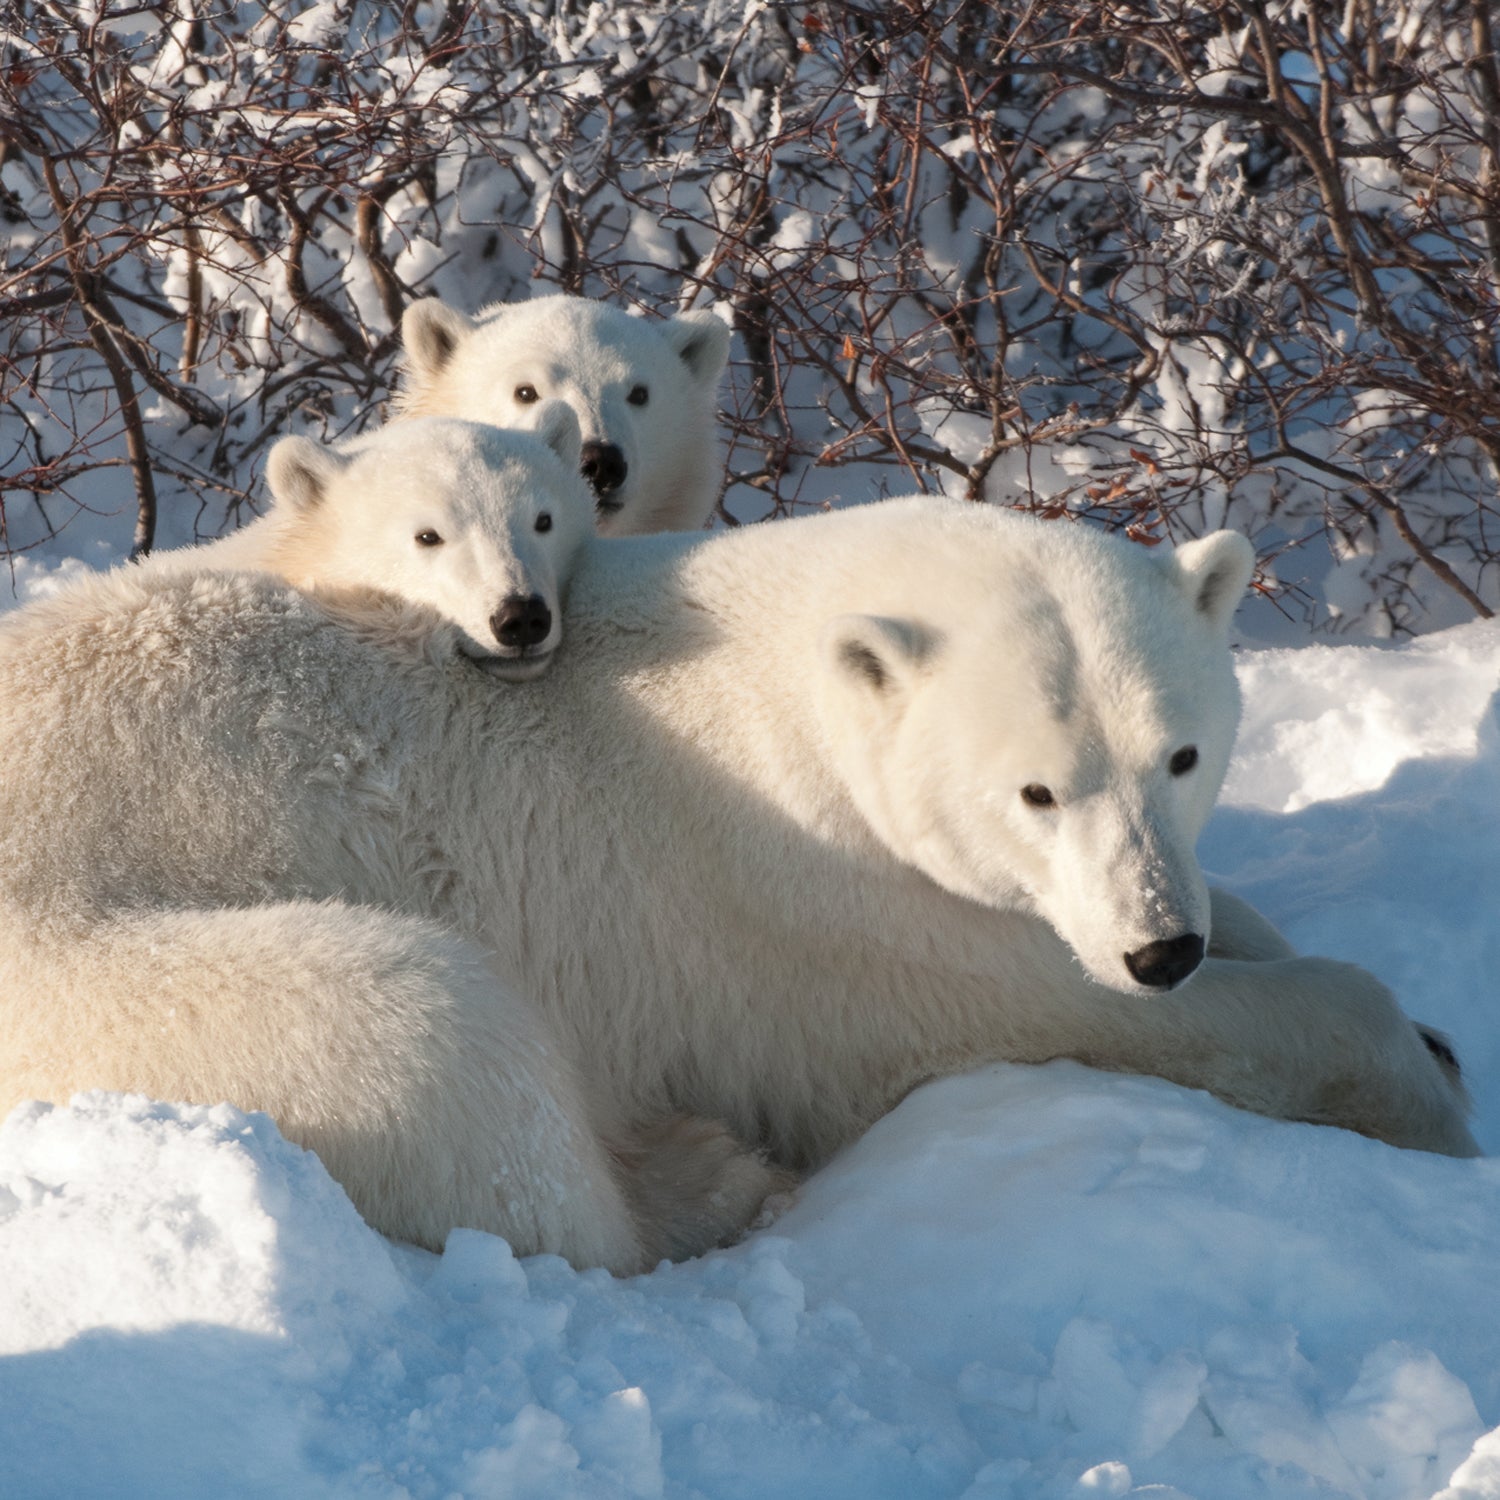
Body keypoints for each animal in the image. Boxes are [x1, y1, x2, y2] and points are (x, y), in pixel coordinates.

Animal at [0, 501, 1476, 1266]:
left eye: (1182, 751)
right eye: (1036, 791)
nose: (1158, 944)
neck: (774, 676)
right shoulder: (807, 910)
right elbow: (1035, 1007)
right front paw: (1425, 1075)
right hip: (125, 983)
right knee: (432, 1044)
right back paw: (702, 1179)